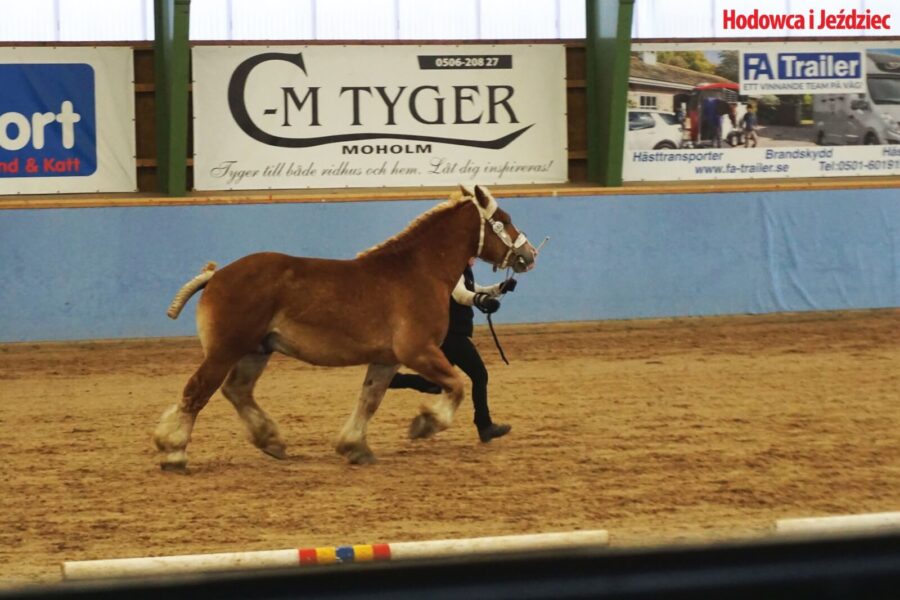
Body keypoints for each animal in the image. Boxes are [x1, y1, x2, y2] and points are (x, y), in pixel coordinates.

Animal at [153, 185, 536, 472]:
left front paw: (355, 447)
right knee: (196, 392)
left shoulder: (387, 360)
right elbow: (456, 386)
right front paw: (424, 423)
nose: (529, 255)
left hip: (255, 351)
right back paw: (174, 452)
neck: (419, 272)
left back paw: (272, 441)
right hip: (224, 351)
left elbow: (369, 400)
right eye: (503, 220)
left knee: (237, 391)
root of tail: (216, 275)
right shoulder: (419, 351)